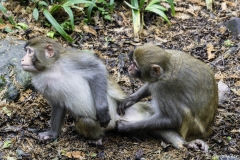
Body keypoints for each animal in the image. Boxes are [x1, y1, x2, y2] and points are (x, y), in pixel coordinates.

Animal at [21, 36, 152, 144]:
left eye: (29, 51)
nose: (22, 60)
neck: (51, 68)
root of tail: (116, 119)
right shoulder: (44, 84)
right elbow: (58, 105)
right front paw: (52, 134)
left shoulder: (70, 60)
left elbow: (97, 69)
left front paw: (102, 109)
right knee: (85, 122)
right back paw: (97, 138)